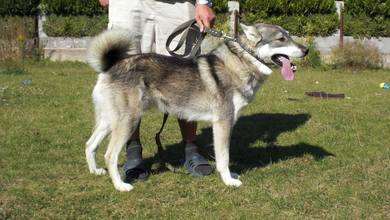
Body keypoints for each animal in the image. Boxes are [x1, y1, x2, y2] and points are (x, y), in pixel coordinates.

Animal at [84, 22, 308, 191]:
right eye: (281, 39)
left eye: (289, 36)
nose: (306, 50)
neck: (242, 61)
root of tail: (111, 65)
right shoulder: (224, 123)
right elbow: (224, 157)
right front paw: (229, 180)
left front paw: (231, 175)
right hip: (128, 121)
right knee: (109, 155)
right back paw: (120, 185)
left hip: (109, 121)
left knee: (90, 145)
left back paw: (95, 171)